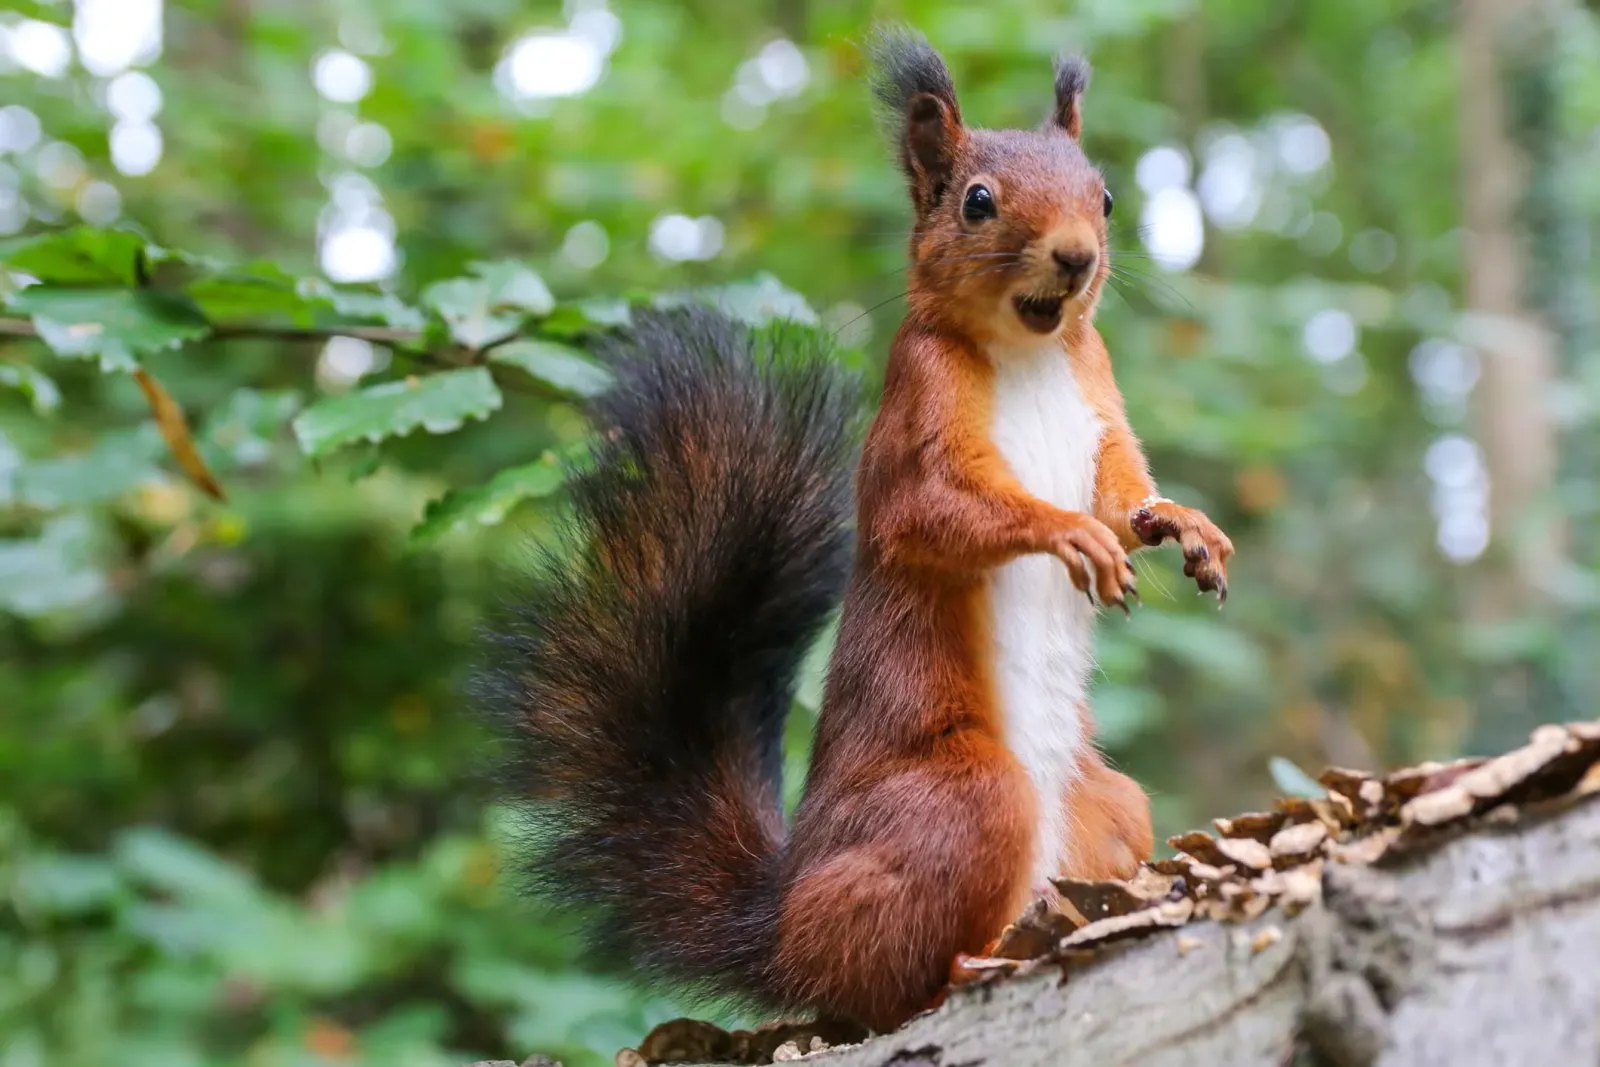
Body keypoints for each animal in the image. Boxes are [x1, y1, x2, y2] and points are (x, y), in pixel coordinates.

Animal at [478, 28, 1234, 1036]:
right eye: (977, 200)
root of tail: (781, 926)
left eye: (1104, 197)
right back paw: (970, 963)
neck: (1033, 352)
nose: (1077, 256)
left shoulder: (1099, 406)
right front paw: (1069, 534)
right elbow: (939, 513)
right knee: (884, 983)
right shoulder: (914, 419)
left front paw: (1184, 525)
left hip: (1110, 802)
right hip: (959, 804)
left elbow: (1124, 495)